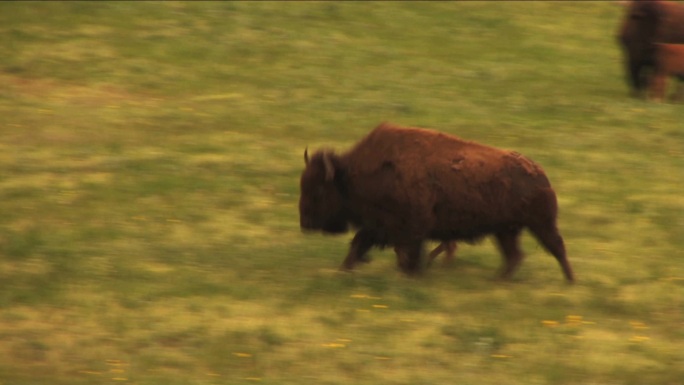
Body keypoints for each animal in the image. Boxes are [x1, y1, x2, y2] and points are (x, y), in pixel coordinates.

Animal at [302, 123, 576, 282]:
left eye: (318, 190)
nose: (305, 223)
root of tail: (539, 174)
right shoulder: (377, 226)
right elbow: (358, 245)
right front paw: (344, 270)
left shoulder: (410, 229)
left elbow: (408, 255)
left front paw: (411, 276)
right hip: (505, 231)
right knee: (515, 256)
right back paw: (499, 279)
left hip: (540, 225)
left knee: (556, 249)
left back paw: (570, 281)